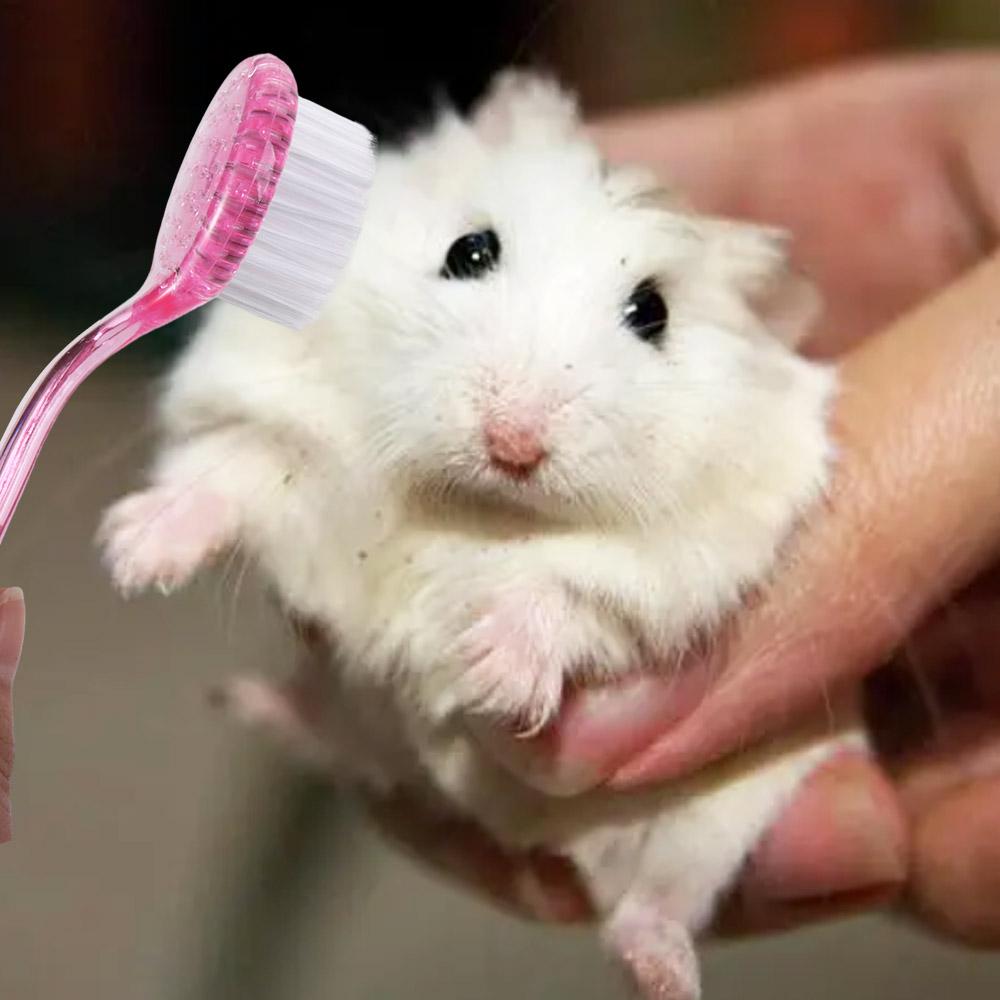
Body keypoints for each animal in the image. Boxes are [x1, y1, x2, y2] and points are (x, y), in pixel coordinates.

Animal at [99, 70, 866, 1000]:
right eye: (469, 252)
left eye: (652, 313)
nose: (513, 442)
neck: (467, 505)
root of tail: (537, 839)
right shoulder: (276, 413)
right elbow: (229, 471)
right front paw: (132, 555)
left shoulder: (681, 559)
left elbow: (565, 592)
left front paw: (488, 678)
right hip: (365, 723)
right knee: (339, 739)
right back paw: (247, 699)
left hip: (723, 814)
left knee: (654, 905)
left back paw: (665, 976)